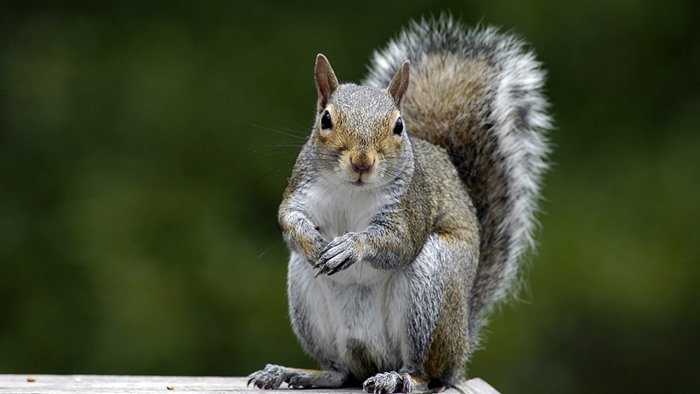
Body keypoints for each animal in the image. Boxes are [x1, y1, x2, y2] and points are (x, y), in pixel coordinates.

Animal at [249, 13, 548, 392]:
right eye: (325, 119)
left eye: (398, 125)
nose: (362, 162)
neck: (353, 189)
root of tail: (462, 345)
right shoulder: (302, 188)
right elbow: (289, 218)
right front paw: (313, 242)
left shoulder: (410, 206)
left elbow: (399, 241)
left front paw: (351, 246)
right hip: (306, 295)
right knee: (339, 371)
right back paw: (295, 373)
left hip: (431, 289)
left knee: (428, 373)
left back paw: (401, 377)